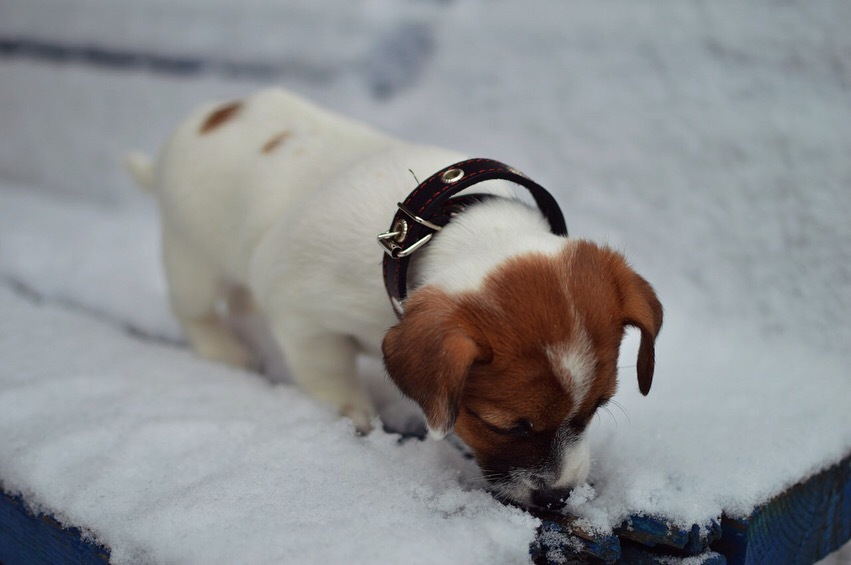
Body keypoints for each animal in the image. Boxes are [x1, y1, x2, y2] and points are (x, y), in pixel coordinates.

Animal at [126, 88, 664, 506]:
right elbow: (331, 377)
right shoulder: (303, 317)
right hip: (192, 259)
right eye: (508, 426)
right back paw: (226, 351)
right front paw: (356, 419)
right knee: (195, 311)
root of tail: (203, 120)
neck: (439, 229)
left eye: (596, 408)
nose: (558, 498)